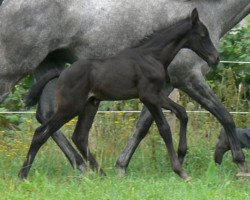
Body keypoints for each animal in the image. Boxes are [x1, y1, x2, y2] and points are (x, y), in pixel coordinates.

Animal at [0, 0, 249, 175]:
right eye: (202, 34)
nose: (216, 58)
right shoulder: (188, 77)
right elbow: (224, 115)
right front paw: (240, 163)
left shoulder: (162, 89)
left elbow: (146, 124)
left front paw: (122, 166)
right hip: (14, 71)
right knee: (46, 124)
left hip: (52, 69)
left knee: (48, 119)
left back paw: (84, 168)